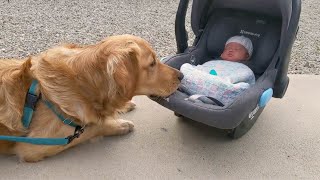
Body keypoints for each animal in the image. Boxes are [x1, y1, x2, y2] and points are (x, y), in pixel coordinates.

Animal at [0, 34, 182, 162]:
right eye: (152, 63)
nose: (181, 75)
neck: (81, 84)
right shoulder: (35, 145)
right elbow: (90, 129)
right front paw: (119, 125)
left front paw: (124, 106)